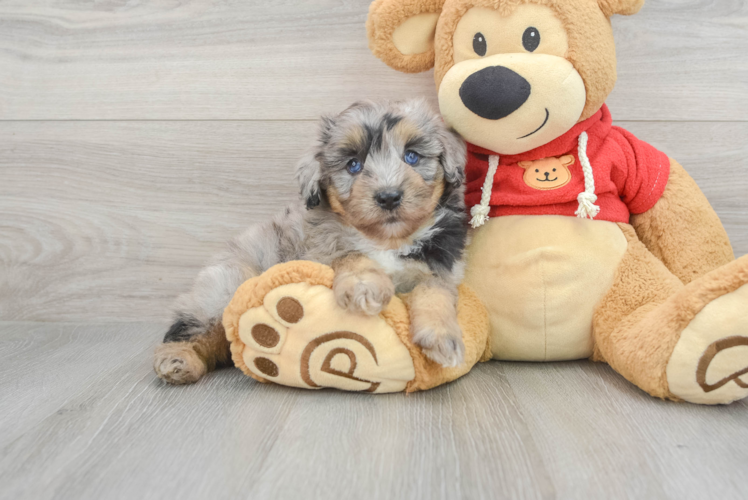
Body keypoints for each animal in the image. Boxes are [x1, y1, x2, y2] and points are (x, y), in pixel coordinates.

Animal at [152, 98, 468, 386]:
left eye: (412, 156)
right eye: (353, 165)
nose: (389, 197)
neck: (387, 240)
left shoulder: (441, 266)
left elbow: (435, 290)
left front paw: (442, 337)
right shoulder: (319, 251)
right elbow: (351, 255)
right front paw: (365, 286)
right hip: (224, 285)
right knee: (193, 327)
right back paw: (178, 360)